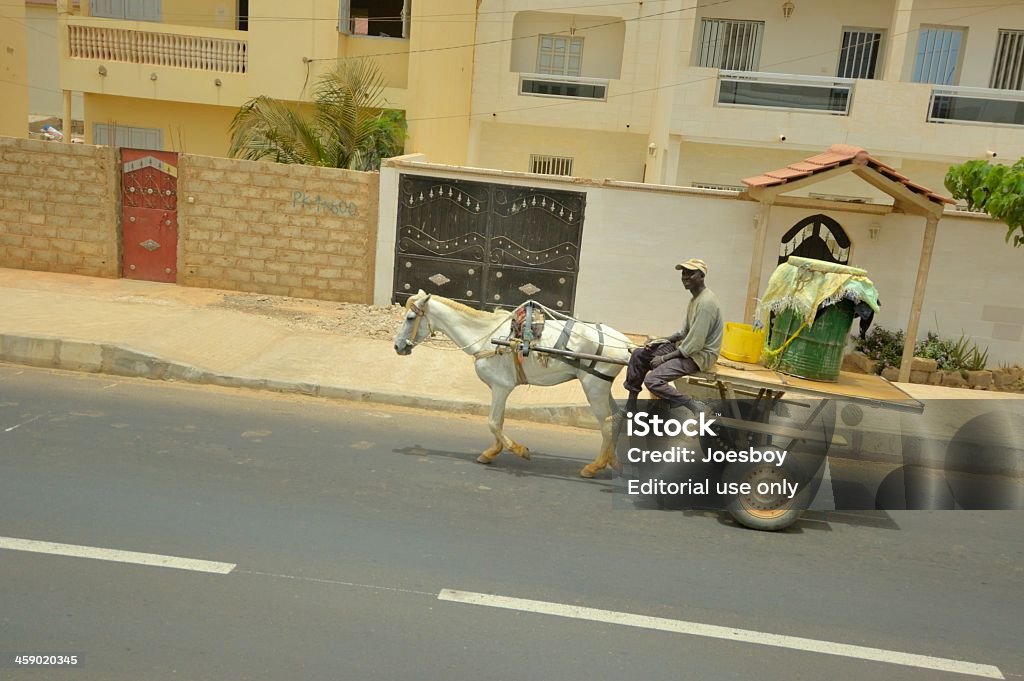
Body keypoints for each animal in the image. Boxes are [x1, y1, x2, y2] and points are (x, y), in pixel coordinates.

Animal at [391, 290, 630, 477]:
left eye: (410, 317)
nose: (397, 346)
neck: (487, 338)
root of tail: (626, 344)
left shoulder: (500, 386)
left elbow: (493, 422)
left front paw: (518, 450)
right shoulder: (501, 389)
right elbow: (500, 421)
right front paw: (491, 452)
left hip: (594, 387)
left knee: (606, 423)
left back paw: (594, 466)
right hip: (601, 386)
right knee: (617, 417)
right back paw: (613, 461)